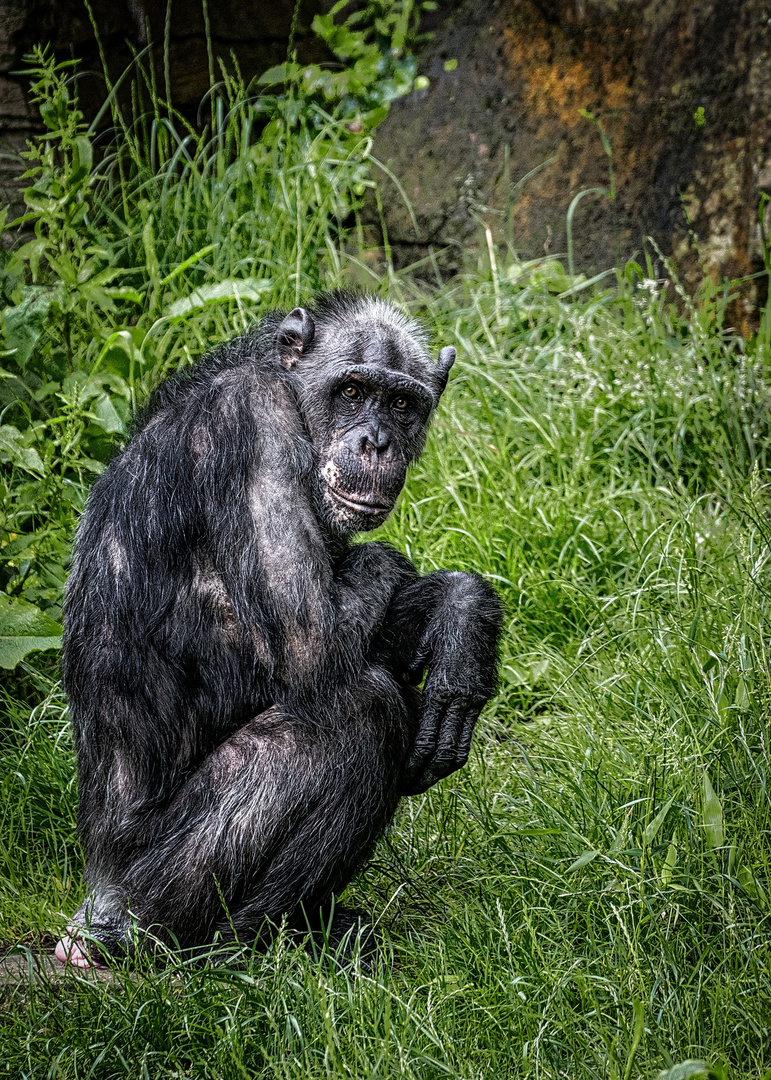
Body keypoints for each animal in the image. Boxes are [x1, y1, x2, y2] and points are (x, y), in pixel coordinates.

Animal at [53, 291, 501, 967]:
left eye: (401, 404)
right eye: (351, 391)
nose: (376, 441)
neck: (293, 393)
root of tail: (91, 913)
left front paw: (460, 613)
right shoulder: (254, 425)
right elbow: (315, 642)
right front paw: (395, 571)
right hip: (157, 891)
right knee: (362, 706)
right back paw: (253, 947)